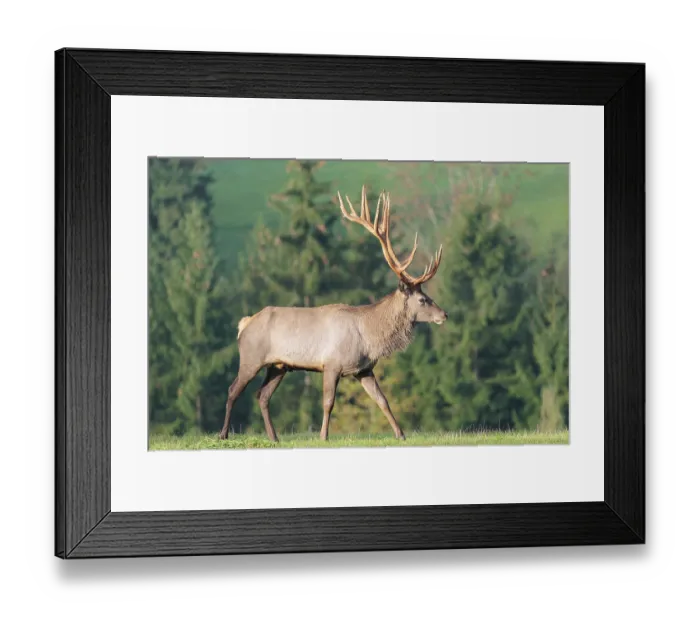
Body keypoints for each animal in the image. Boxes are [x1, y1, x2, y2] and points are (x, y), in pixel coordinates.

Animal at [219, 185, 447, 443]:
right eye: (423, 299)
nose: (444, 315)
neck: (369, 336)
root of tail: (244, 324)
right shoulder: (331, 364)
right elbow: (328, 403)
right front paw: (323, 436)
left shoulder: (364, 369)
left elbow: (383, 400)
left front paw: (401, 434)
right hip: (251, 357)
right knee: (233, 390)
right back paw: (223, 434)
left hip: (278, 365)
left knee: (262, 395)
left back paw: (274, 437)